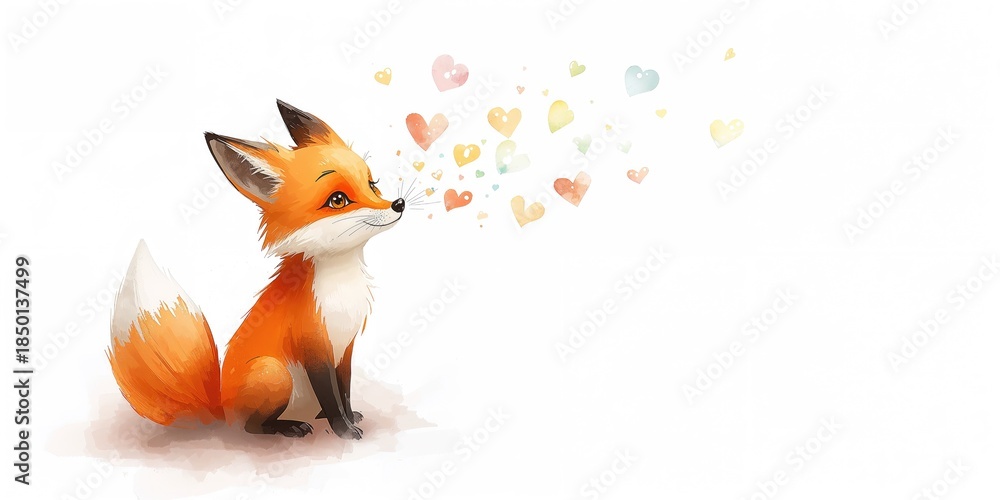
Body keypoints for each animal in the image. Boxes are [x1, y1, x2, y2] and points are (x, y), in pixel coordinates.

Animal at [107, 100, 406, 439]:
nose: (398, 204)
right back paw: (287, 426)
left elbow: (344, 390)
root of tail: (221, 407)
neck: (341, 286)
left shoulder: (345, 347)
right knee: (251, 427)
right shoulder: (315, 348)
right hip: (273, 373)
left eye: (372, 184)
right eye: (338, 199)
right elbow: (331, 397)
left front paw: (350, 416)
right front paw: (343, 430)